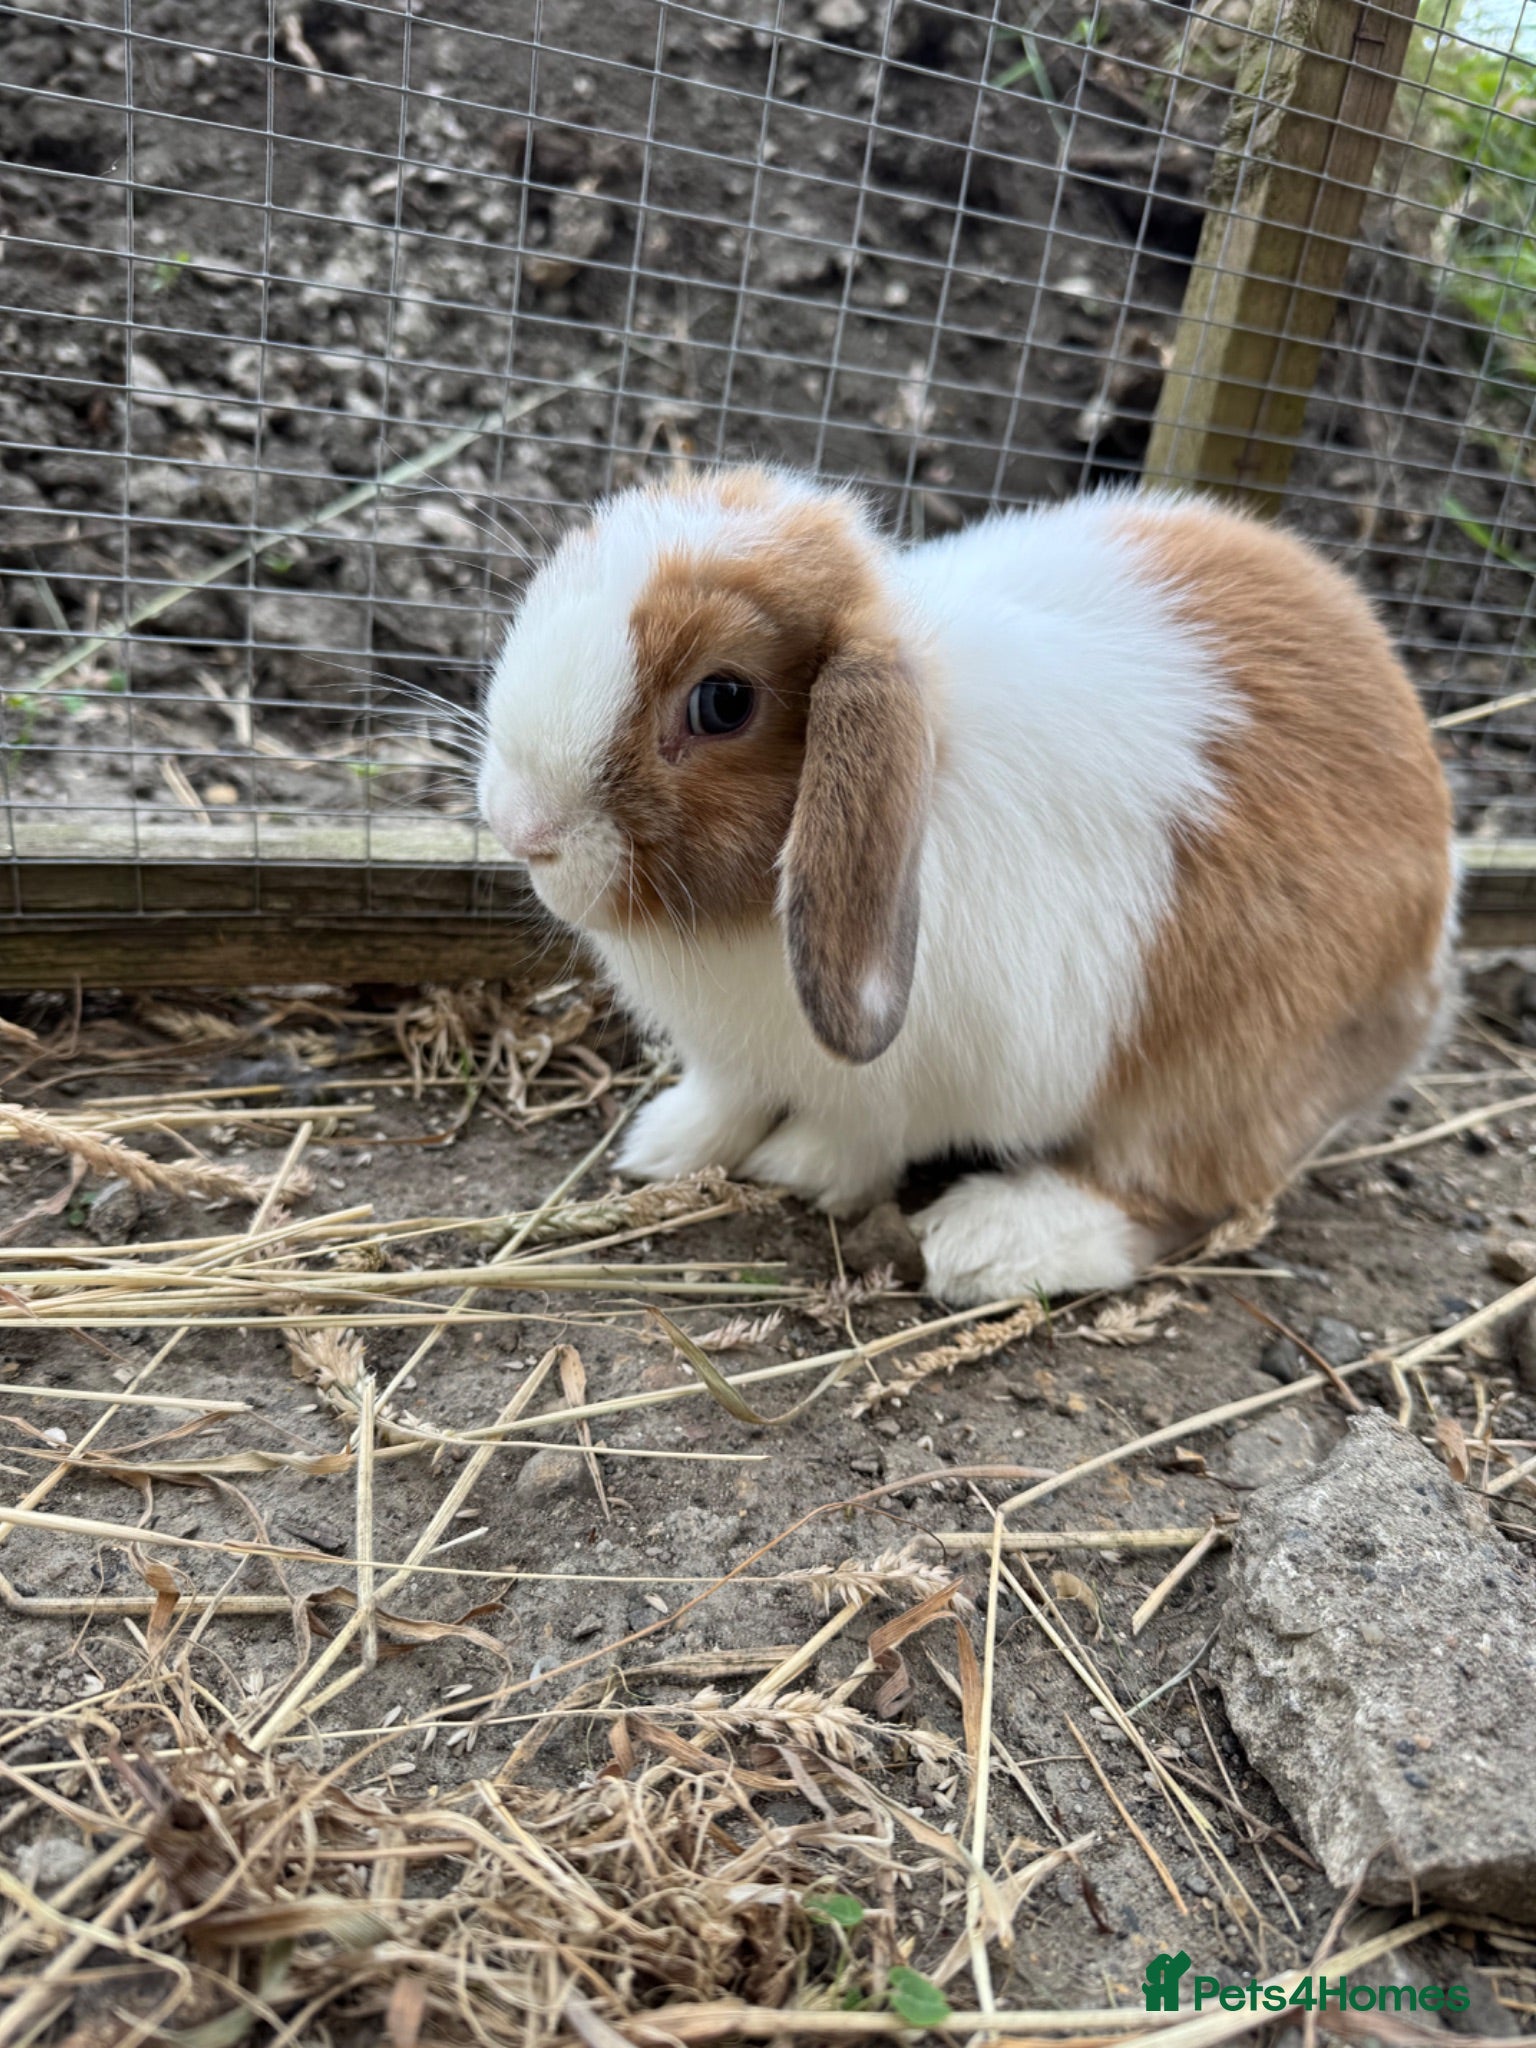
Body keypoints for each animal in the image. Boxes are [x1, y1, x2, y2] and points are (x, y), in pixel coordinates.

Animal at [478, 465, 1455, 1306]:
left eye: (722, 701)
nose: (520, 826)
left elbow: (859, 1138)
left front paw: (803, 1170)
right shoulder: (734, 1059)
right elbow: (727, 1097)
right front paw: (666, 1147)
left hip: (1218, 1074)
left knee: (1171, 1192)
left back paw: (988, 1243)